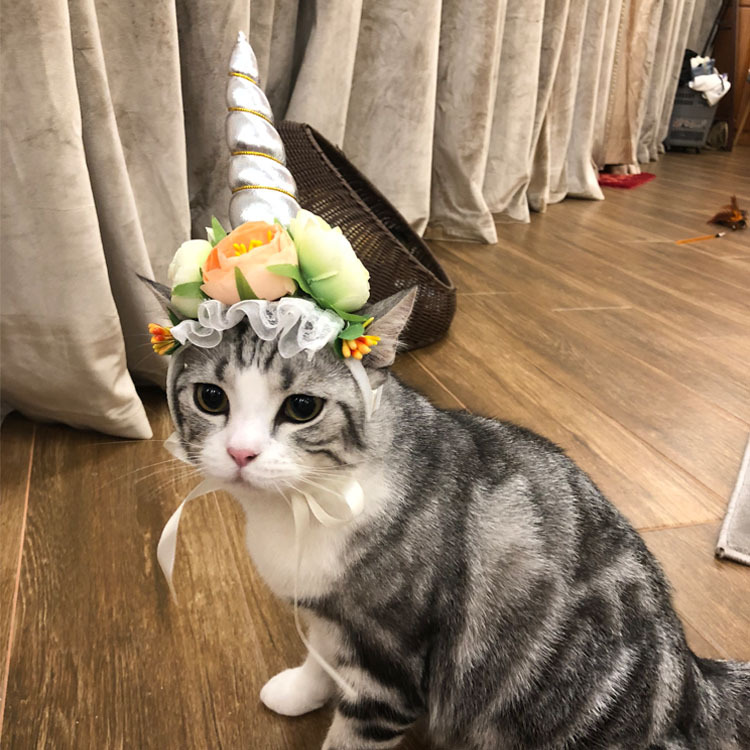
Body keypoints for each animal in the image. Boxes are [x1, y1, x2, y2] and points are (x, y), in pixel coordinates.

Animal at [154, 283, 749, 750]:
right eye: (211, 399)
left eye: (303, 408)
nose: (241, 453)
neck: (302, 506)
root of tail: (695, 684)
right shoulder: (332, 612)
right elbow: (320, 653)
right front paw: (300, 689)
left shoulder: (389, 666)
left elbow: (354, 727)